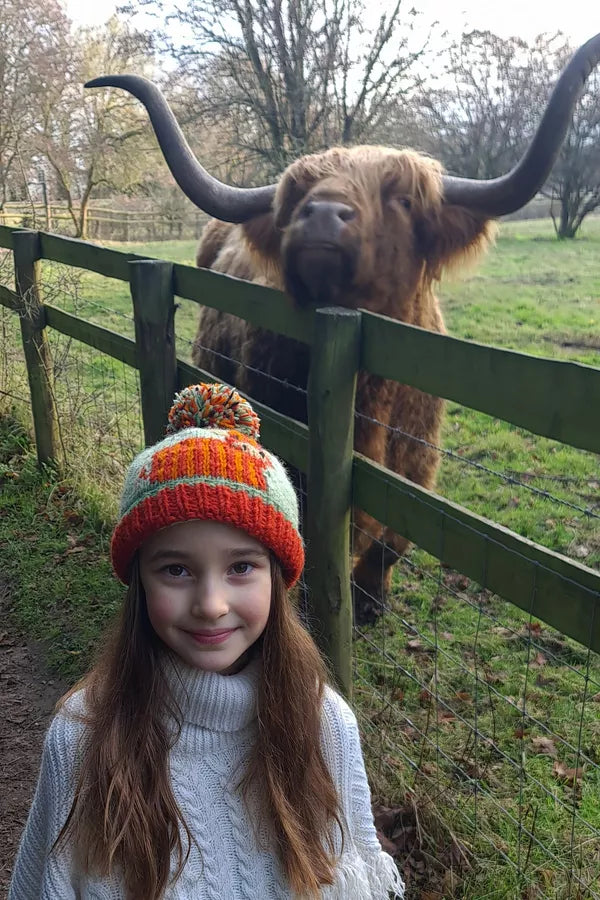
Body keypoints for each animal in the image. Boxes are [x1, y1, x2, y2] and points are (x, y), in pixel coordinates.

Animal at [86, 33, 600, 624]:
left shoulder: (417, 469)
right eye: (295, 198)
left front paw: (372, 604)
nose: (323, 213)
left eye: (402, 198)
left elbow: (390, 543)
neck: (367, 394)